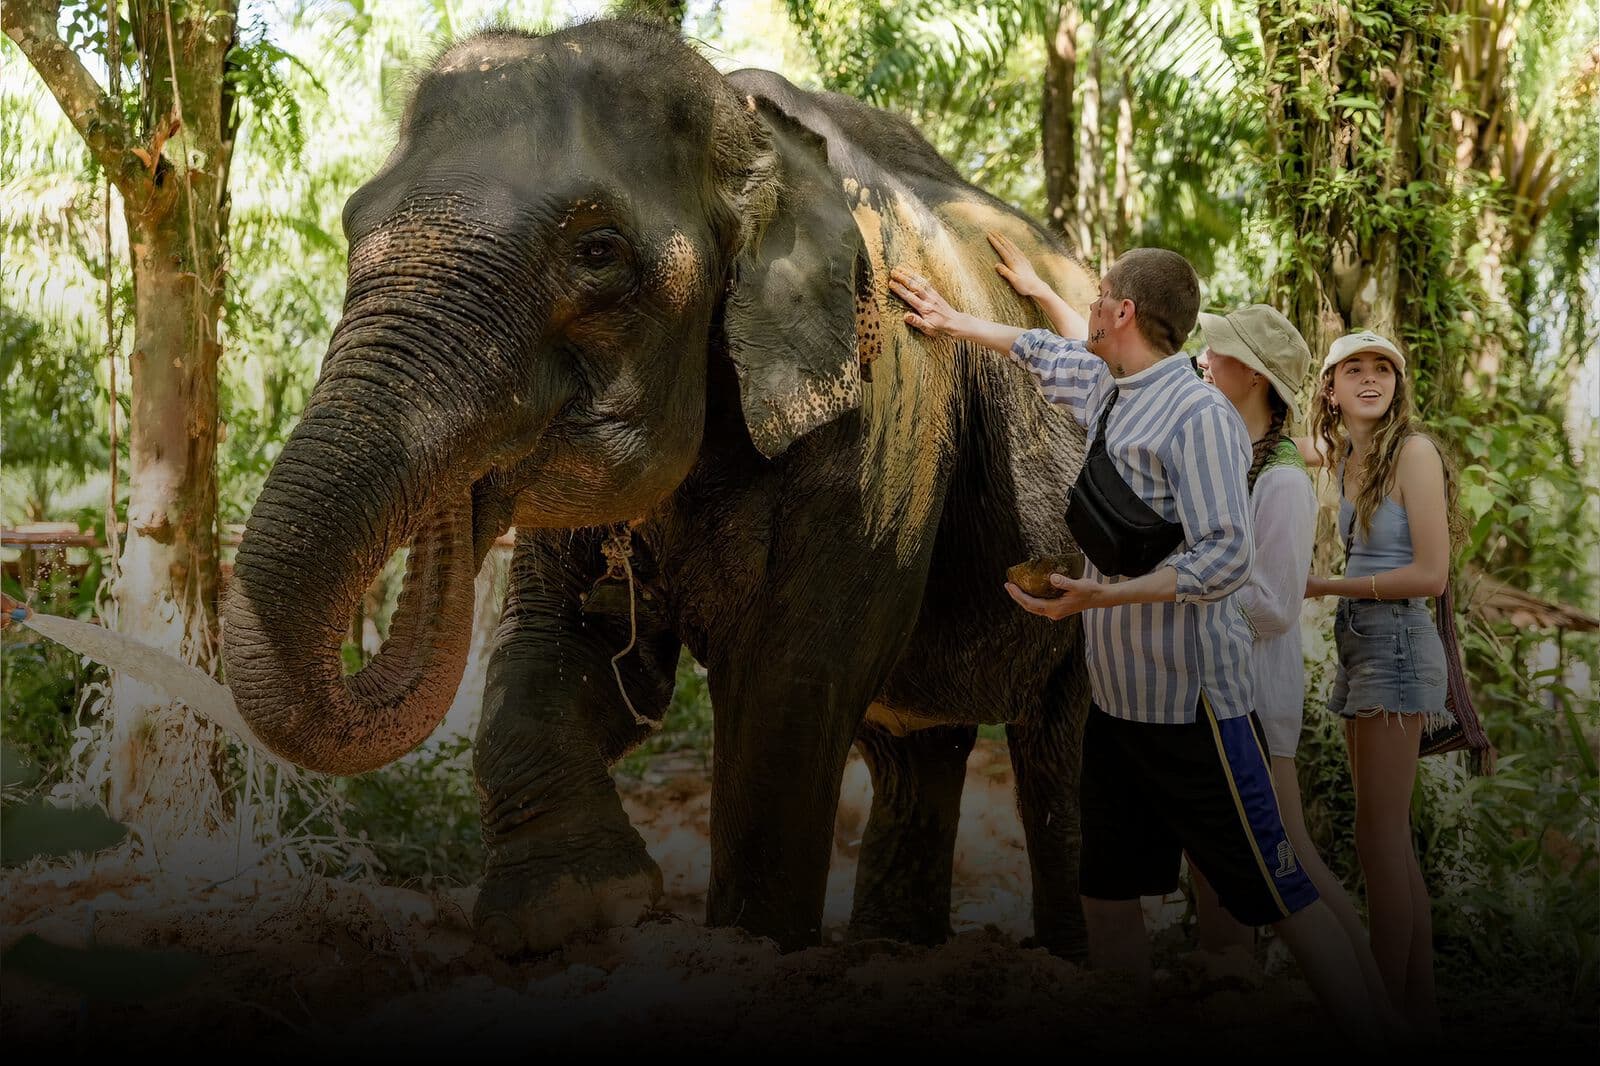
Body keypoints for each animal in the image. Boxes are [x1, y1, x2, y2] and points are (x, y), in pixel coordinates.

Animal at [221, 18, 1099, 956]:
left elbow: (790, 692)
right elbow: (571, 655)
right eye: (353, 225)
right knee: (917, 755)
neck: (751, 135)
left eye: (597, 250)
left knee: (1064, 759)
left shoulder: (887, 407)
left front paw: (753, 941)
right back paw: (893, 950)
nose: (461, 499)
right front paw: (576, 905)